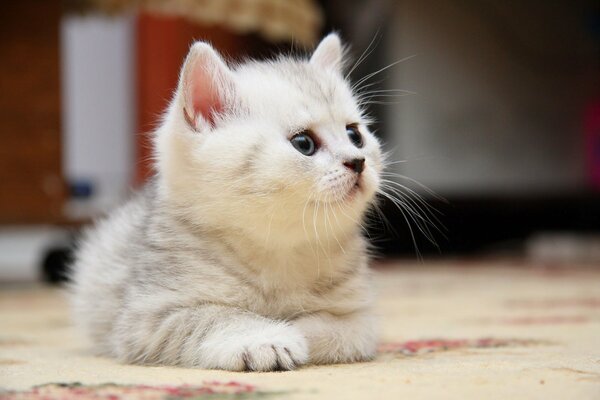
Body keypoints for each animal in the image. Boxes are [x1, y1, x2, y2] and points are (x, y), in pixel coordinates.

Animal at [68, 34, 382, 372]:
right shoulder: (146, 318)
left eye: (355, 135)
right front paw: (265, 338)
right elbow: (214, 317)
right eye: (304, 143)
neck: (279, 250)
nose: (358, 162)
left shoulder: (361, 317)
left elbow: (339, 330)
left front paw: (294, 328)